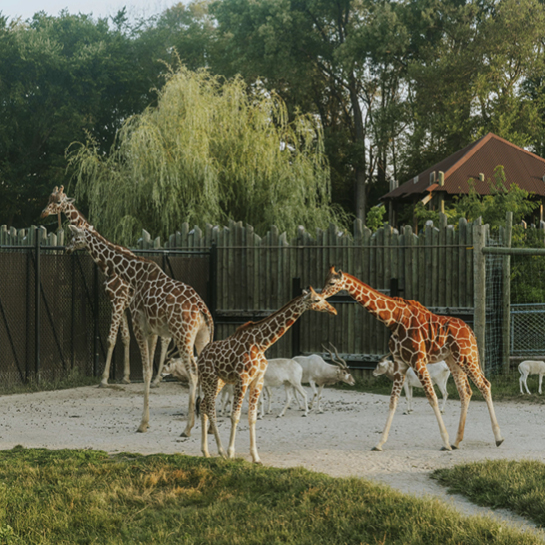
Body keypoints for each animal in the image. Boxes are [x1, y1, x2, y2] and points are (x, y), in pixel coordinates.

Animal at [40, 187, 170, 386]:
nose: (43, 213)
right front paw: (125, 377)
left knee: (161, 337)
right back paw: (156, 377)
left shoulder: (118, 301)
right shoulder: (120, 304)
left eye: (59, 202)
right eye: (49, 198)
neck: (108, 267)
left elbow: (111, 339)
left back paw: (156, 378)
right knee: (161, 337)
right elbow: (125, 337)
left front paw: (104, 378)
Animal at [65, 223, 214, 436]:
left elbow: (145, 372)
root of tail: (203, 310)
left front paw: (143, 423)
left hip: (182, 335)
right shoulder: (152, 331)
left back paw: (187, 428)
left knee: (193, 373)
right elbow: (149, 369)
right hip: (202, 337)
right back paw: (209, 427)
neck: (134, 275)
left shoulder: (139, 326)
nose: (66, 248)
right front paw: (147, 421)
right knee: (206, 372)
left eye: (73, 236)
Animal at [198, 286, 338, 462]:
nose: (333, 310)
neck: (261, 343)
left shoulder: (257, 379)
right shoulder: (242, 379)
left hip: (219, 381)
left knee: (204, 405)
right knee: (210, 408)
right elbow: (235, 415)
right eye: (317, 299)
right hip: (209, 378)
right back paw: (221, 452)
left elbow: (252, 416)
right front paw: (231, 453)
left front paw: (256, 457)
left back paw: (205, 452)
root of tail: (200, 356)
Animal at [318, 264, 502, 450]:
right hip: (454, 360)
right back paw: (457, 441)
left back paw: (498, 438)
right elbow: (393, 401)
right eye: (324, 280)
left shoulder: (418, 360)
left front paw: (444, 441)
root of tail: (470, 330)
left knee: (485, 385)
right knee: (466, 392)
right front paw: (379, 443)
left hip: (467, 357)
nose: (319, 297)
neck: (394, 320)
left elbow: (432, 398)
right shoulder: (400, 363)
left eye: (332, 282)